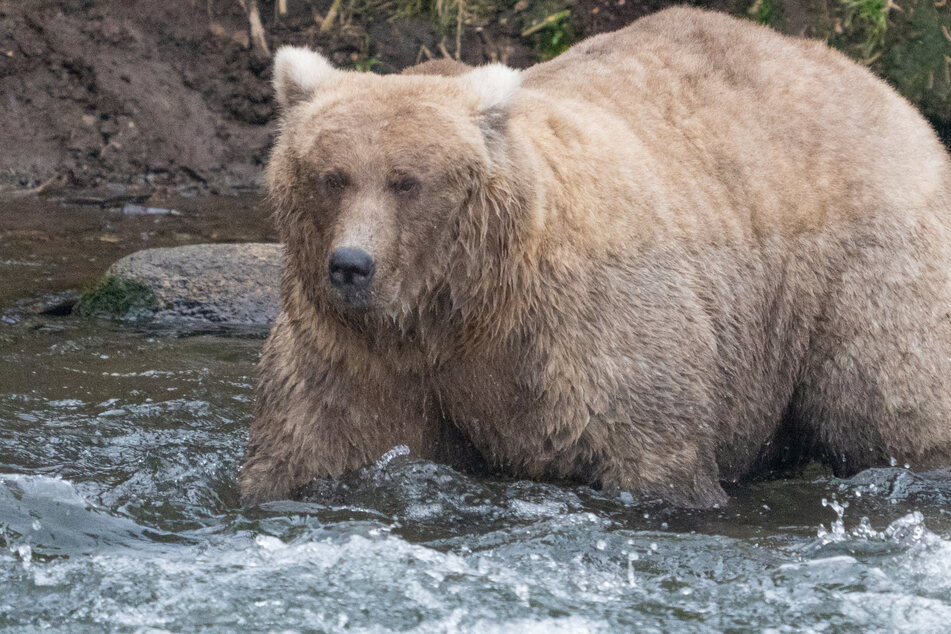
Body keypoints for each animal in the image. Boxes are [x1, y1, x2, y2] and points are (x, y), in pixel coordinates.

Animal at [240, 6, 951, 508]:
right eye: (331, 176)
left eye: (406, 181)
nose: (351, 265)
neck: (459, 309)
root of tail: (877, 85)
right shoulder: (354, 353)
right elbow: (313, 446)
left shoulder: (588, 332)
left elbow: (649, 451)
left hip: (861, 268)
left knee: (891, 401)